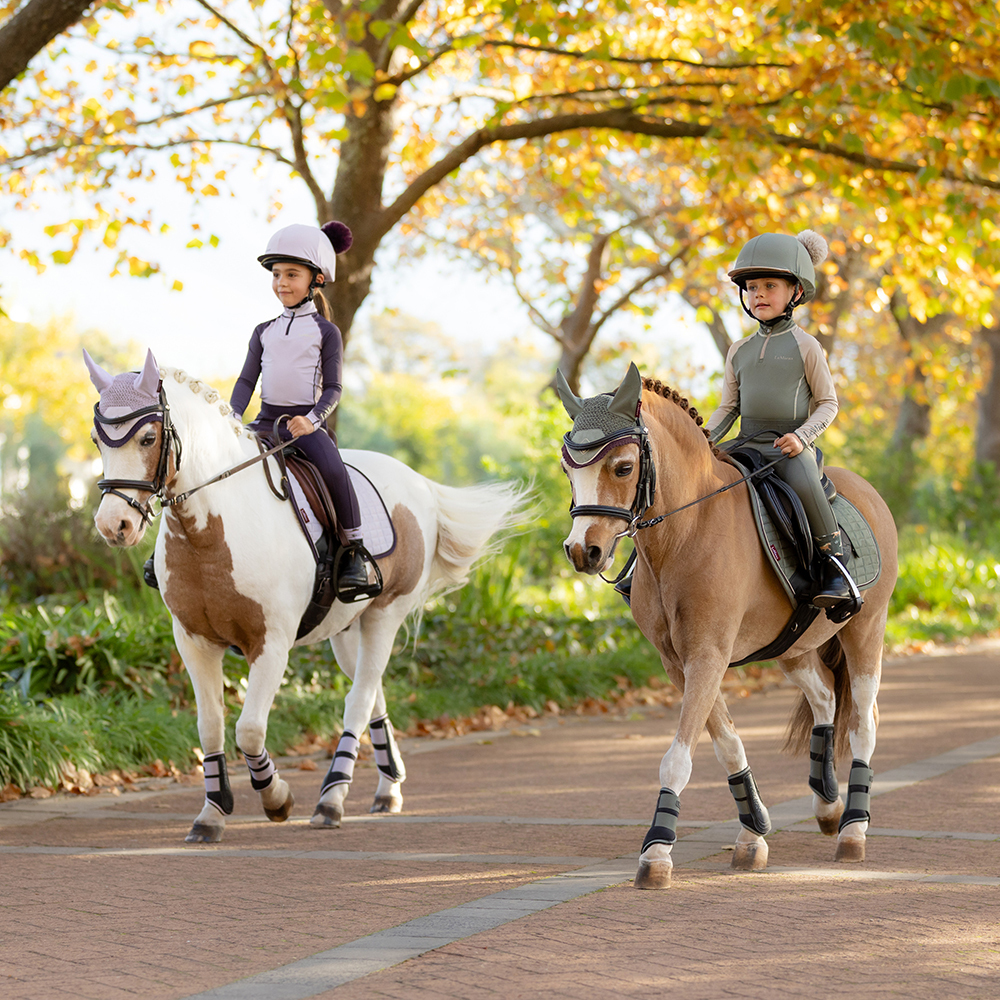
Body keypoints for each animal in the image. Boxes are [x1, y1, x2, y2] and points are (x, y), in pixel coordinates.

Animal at [86, 349, 526, 843]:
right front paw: (212, 812)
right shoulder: (194, 641)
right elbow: (210, 726)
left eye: (147, 437)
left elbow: (250, 729)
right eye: (98, 440)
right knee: (371, 692)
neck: (212, 531)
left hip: (385, 616)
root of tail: (418, 483)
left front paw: (276, 798)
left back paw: (332, 798)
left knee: (358, 700)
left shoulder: (272, 645)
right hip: (346, 629)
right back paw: (387, 788)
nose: (114, 526)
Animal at [557, 363, 898, 889]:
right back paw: (825, 804)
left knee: (863, 723)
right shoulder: (681, 663)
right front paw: (753, 832)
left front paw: (658, 850)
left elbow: (678, 757)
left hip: (865, 632)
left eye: (622, 467)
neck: (687, 531)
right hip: (793, 648)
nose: (583, 551)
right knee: (824, 697)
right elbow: (728, 744)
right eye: (568, 469)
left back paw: (852, 830)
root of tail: (868, 492)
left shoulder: (708, 656)